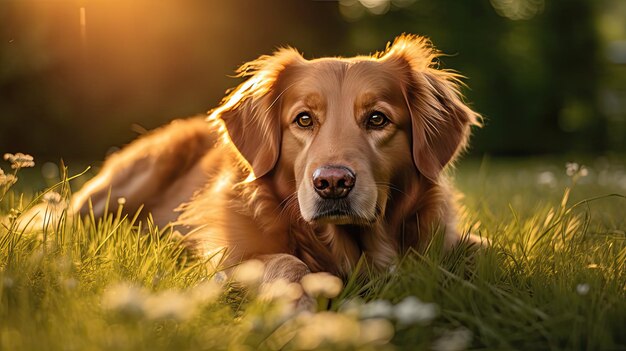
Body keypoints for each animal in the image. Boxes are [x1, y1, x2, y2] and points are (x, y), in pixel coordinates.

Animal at [57, 33, 482, 286]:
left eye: (377, 119)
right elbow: (287, 264)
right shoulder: (229, 259)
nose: (332, 183)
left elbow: (484, 247)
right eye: (304, 119)